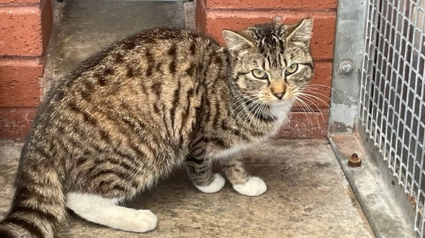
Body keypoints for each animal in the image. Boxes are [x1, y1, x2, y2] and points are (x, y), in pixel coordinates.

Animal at [0, 18, 312, 236]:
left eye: (292, 69)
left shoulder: (231, 140)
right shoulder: (198, 134)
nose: (280, 92)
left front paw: (243, 182)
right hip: (141, 150)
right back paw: (138, 219)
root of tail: (40, 135)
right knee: (78, 198)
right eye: (259, 73)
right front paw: (210, 184)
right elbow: (200, 161)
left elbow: (233, 156)